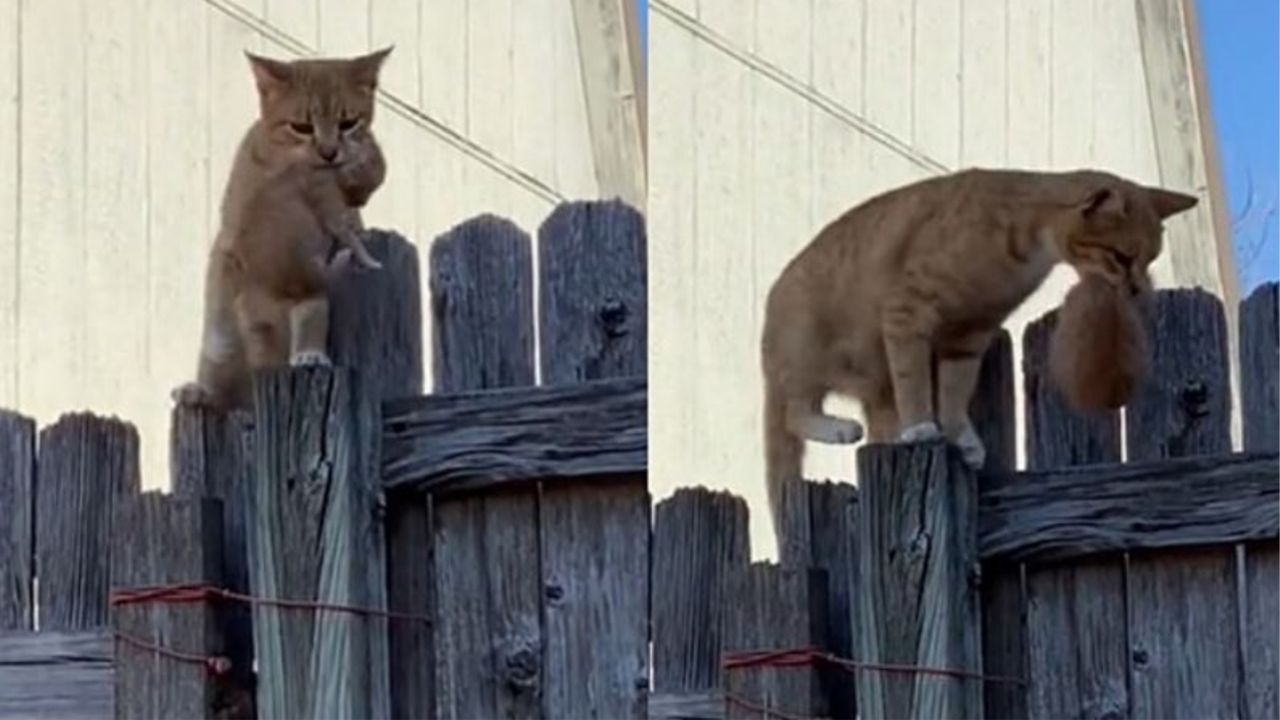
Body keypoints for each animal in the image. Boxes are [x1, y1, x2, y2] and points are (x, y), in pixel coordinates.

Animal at [757, 165, 1198, 530]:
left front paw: (961, 437)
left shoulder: (969, 336)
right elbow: (914, 382)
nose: (1137, 289)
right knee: (795, 412)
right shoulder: (907, 311)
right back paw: (839, 426)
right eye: (1122, 257)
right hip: (811, 354)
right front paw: (921, 427)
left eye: (1150, 259)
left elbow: (955, 392)